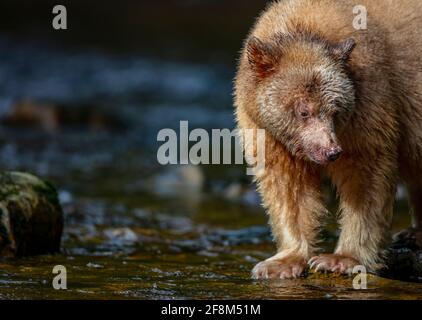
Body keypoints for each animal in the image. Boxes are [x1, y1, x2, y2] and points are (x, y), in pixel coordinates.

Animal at [234, 0, 422, 278]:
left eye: (335, 109)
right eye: (303, 111)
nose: (331, 151)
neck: (303, 28)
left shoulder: (369, 103)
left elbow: (366, 176)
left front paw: (340, 259)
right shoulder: (267, 133)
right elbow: (288, 187)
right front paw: (282, 263)